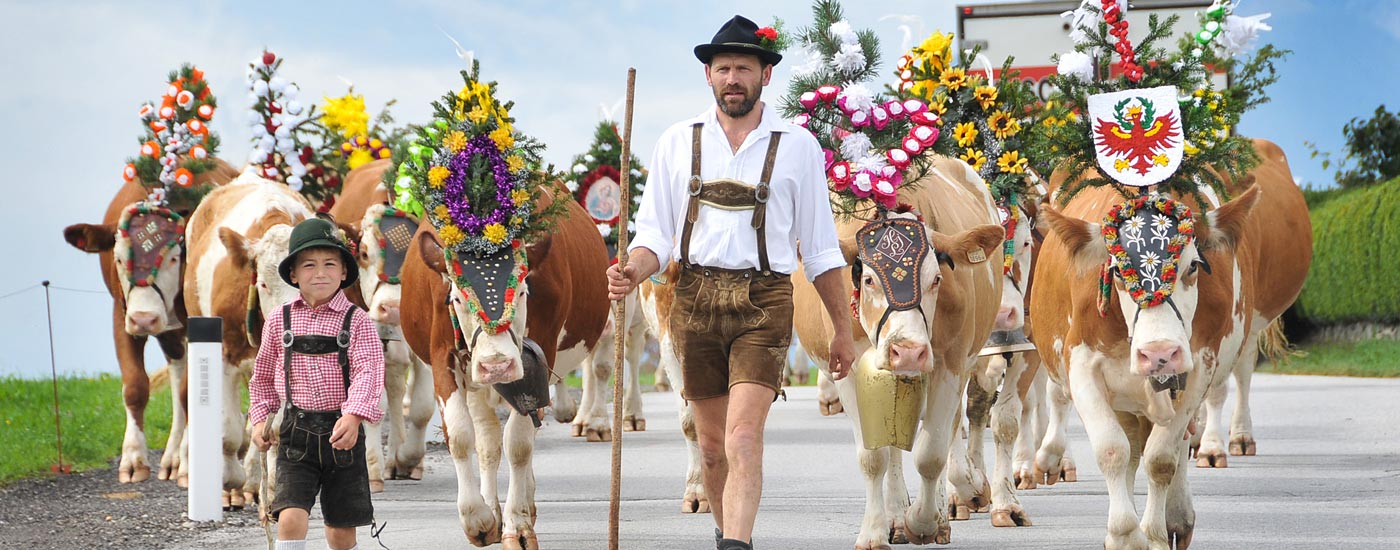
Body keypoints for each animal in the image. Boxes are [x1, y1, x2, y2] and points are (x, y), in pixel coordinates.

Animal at [182, 170, 313, 506]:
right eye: (264, 283)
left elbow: (276, 425)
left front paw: (271, 485)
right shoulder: (225, 353)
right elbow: (228, 427)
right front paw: (229, 482)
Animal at [330, 156, 434, 481]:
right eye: (363, 253)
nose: (393, 308)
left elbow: (422, 406)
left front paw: (408, 457)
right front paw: (373, 466)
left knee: (397, 380)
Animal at [795, 155, 1002, 548]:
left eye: (937, 279)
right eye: (868, 279)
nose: (907, 352)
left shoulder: (951, 364)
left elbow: (931, 452)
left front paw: (923, 522)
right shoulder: (847, 369)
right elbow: (873, 456)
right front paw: (875, 530)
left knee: (950, 428)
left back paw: (943, 509)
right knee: (891, 444)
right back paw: (893, 514)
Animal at [1030, 139, 1310, 545]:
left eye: (1193, 265)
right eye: (1117, 271)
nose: (1159, 354)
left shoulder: (1199, 365)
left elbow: (1162, 457)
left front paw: (1156, 534)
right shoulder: (1080, 363)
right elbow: (1113, 450)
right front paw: (1124, 536)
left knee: (1215, 403)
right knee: (1127, 442)